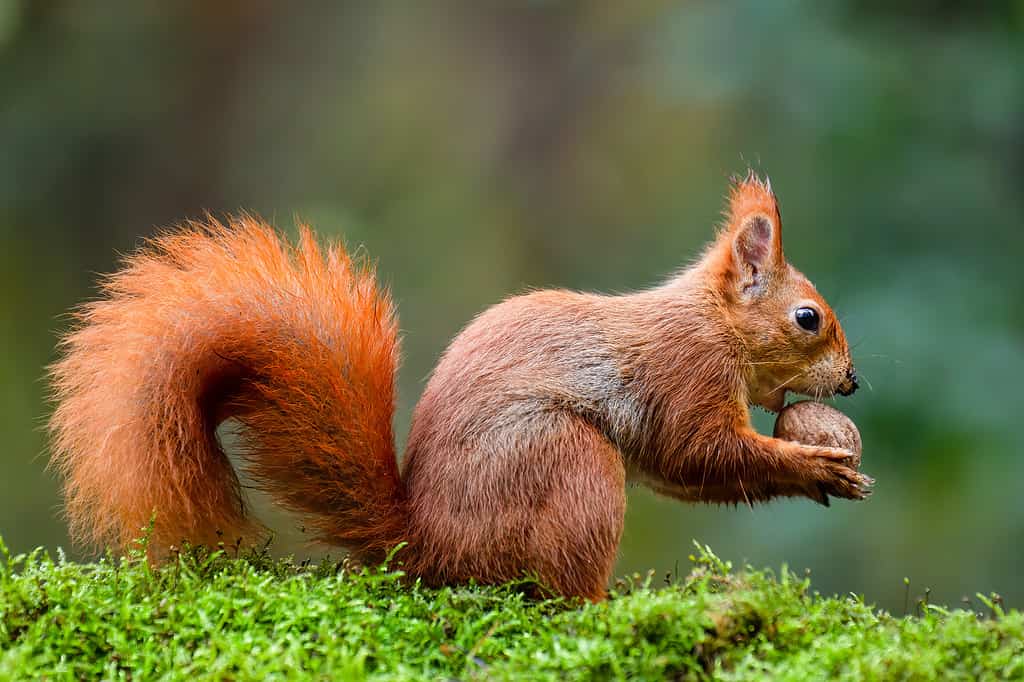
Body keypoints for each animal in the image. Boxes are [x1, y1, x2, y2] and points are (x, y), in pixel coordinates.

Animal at [46, 173, 864, 598]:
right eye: (807, 318)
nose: (854, 381)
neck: (713, 323)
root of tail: (426, 544)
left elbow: (685, 473)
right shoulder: (684, 375)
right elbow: (698, 452)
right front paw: (813, 465)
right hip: (564, 462)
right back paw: (599, 606)